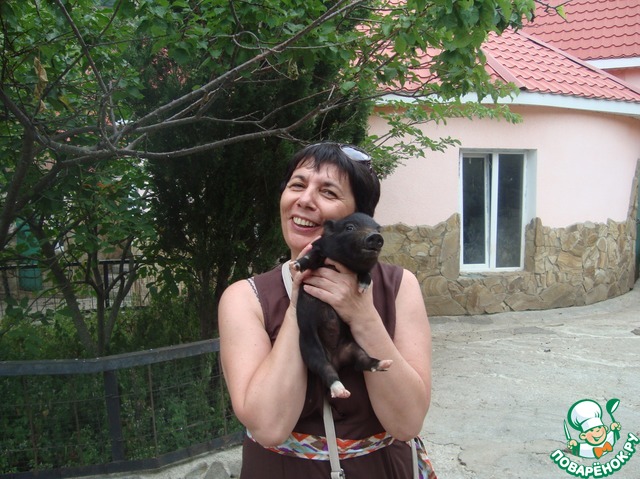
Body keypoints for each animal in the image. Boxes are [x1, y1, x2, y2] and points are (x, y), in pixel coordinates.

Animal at [293, 212, 393, 399]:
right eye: (350, 227)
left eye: (378, 229)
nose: (375, 236)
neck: (346, 263)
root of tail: (336, 360)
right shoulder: (319, 249)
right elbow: (312, 257)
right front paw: (295, 266)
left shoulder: (366, 268)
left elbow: (366, 273)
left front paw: (362, 288)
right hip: (310, 349)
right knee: (325, 369)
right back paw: (341, 391)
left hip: (352, 348)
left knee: (362, 361)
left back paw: (385, 363)